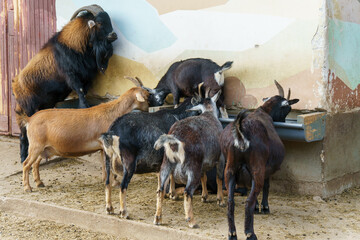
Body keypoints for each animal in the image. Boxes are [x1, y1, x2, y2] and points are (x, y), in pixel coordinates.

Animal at [11, 4, 116, 163]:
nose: (114, 35)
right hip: (27, 108)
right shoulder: (72, 76)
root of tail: (15, 84)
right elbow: (80, 93)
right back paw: (24, 158)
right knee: (23, 133)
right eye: (99, 22)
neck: (72, 45)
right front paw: (84, 109)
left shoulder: (86, 78)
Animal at [21, 78, 150, 192]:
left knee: (35, 163)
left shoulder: (102, 147)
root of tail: (30, 120)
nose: (148, 111)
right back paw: (27, 188)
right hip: (36, 146)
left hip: (44, 148)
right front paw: (115, 182)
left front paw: (107, 180)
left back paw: (39, 183)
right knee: (26, 164)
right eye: (147, 97)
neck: (112, 113)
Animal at [153, 89, 226, 228]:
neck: (209, 114)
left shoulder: (203, 164)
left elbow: (204, 177)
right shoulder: (220, 158)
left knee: (160, 190)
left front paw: (204, 196)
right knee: (188, 192)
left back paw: (158, 218)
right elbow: (219, 178)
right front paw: (220, 200)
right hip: (192, 167)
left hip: (167, 164)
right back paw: (191, 221)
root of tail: (175, 138)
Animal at [221, 80, 300, 240]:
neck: (263, 111)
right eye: (288, 108)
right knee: (248, 201)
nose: (283, 120)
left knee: (231, 201)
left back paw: (232, 233)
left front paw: (259, 207)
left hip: (230, 169)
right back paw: (250, 233)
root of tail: (241, 132)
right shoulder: (266, 167)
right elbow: (267, 185)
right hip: (257, 167)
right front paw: (264, 207)